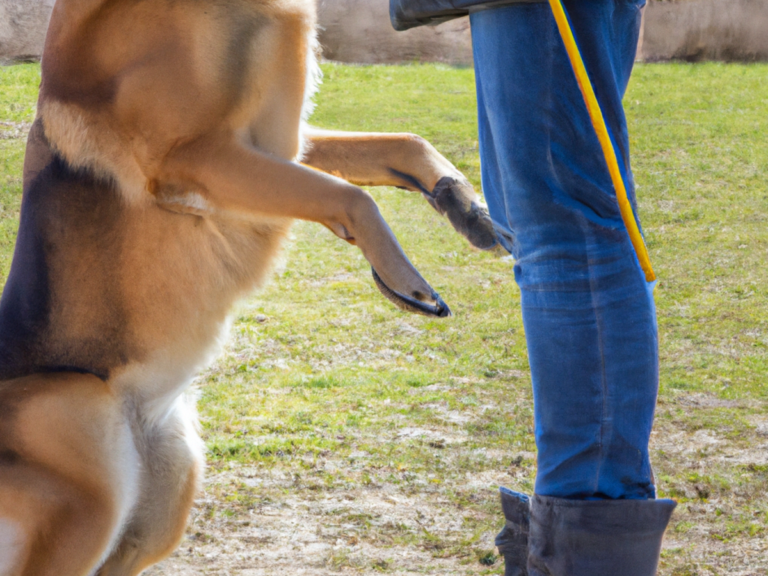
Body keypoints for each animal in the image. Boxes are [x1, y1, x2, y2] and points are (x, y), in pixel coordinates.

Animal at [0, 1, 496, 576]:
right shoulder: (194, 158)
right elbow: (350, 195)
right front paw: (405, 279)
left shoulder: (277, 142)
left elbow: (403, 144)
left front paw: (466, 204)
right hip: (84, 437)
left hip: (165, 492)